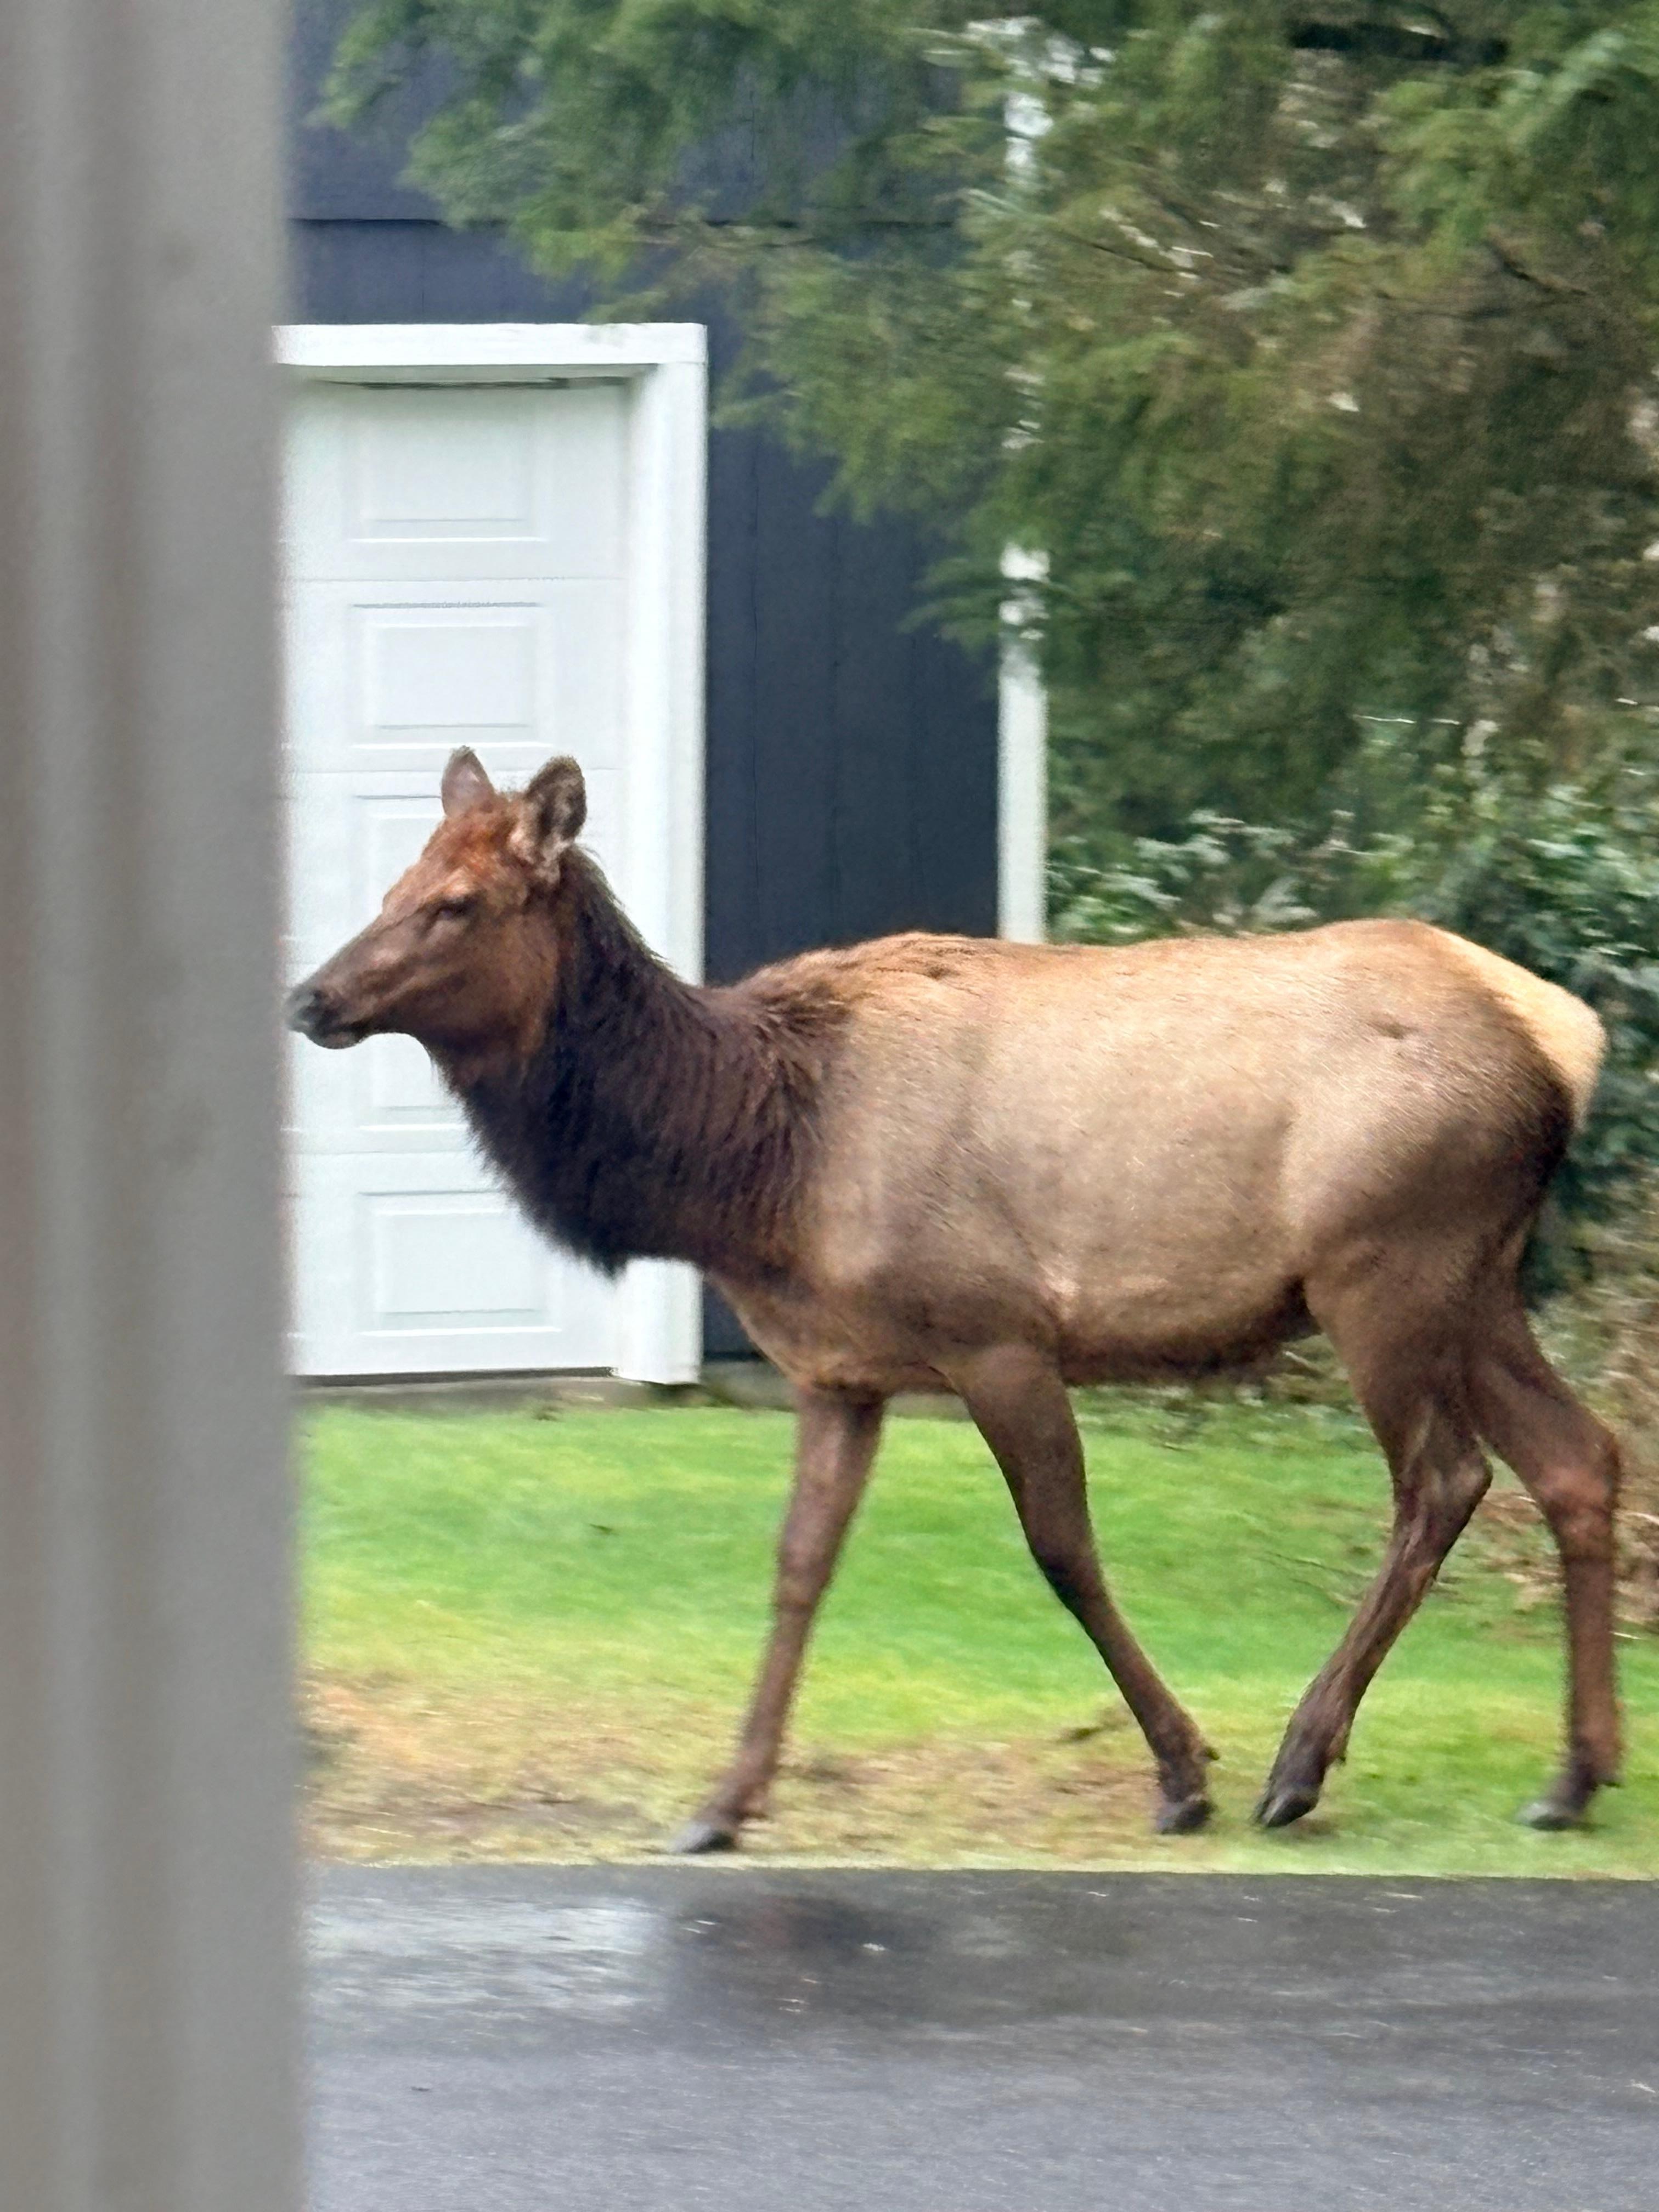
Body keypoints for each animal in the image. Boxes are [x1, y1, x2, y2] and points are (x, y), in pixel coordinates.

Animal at [288, 748, 1623, 1848]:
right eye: (397, 881)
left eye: (459, 902)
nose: (311, 997)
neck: (758, 1172)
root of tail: (1569, 1040)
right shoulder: (837, 1370)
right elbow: (798, 1563)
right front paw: (724, 1801)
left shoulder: (998, 1332)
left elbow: (1063, 1549)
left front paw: (1183, 1771)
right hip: (1475, 1281)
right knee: (1581, 1457)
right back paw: (1572, 1775)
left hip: (1383, 1263)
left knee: (1443, 1479)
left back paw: (1299, 1765)